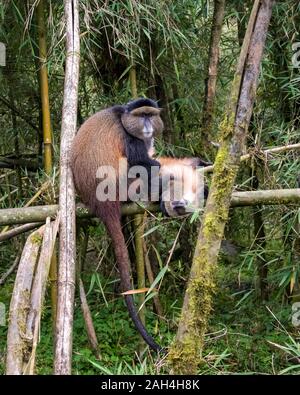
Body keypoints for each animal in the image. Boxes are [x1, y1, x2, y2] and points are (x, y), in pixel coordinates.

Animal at [70, 97, 164, 352]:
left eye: (150, 115)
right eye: (141, 115)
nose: (148, 126)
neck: (123, 116)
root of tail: (102, 205)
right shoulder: (129, 138)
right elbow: (145, 163)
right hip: (123, 185)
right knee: (139, 169)